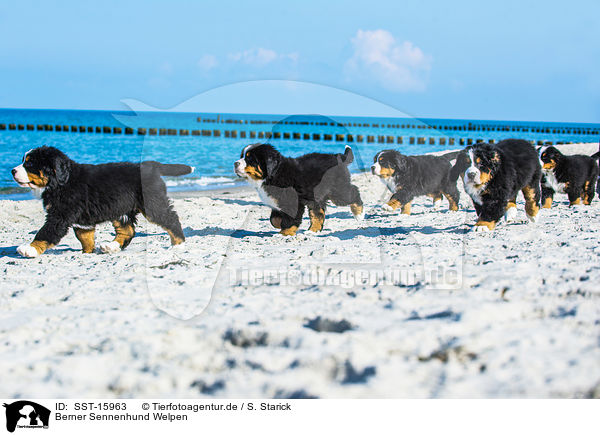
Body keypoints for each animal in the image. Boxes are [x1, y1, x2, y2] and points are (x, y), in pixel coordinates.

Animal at [12, 146, 192, 258]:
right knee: (127, 231)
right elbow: (85, 237)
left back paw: (178, 244)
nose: (12, 170)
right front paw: (87, 253)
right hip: (121, 209)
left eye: (29, 163)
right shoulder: (82, 221)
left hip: (152, 203)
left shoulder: (59, 216)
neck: (62, 181)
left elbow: (45, 232)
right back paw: (111, 247)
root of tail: (151, 166)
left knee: (171, 219)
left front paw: (30, 248)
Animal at [234, 145, 364, 237]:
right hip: (317, 196)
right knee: (318, 213)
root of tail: (338, 157)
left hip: (337, 191)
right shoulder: (277, 203)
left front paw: (285, 233)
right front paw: (280, 227)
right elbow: (273, 219)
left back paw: (359, 215)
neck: (274, 173)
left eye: (250, 159)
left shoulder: (291, 201)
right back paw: (313, 231)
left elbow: (289, 219)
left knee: (354, 192)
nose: (235, 163)